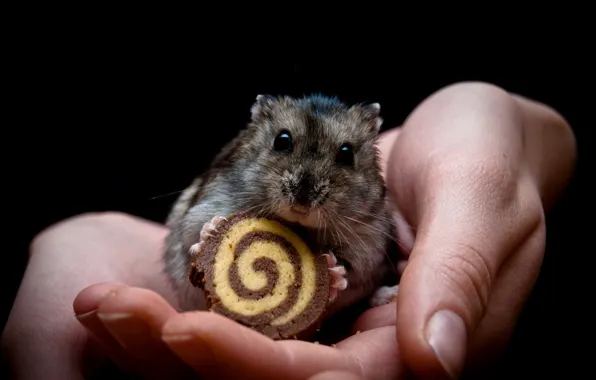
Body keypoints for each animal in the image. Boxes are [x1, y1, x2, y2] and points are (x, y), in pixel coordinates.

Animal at [163, 95, 400, 318]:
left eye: (347, 153)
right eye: (282, 140)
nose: (303, 200)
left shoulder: (369, 244)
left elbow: (352, 272)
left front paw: (333, 274)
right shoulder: (199, 212)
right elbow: (194, 240)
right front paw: (211, 230)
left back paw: (388, 295)